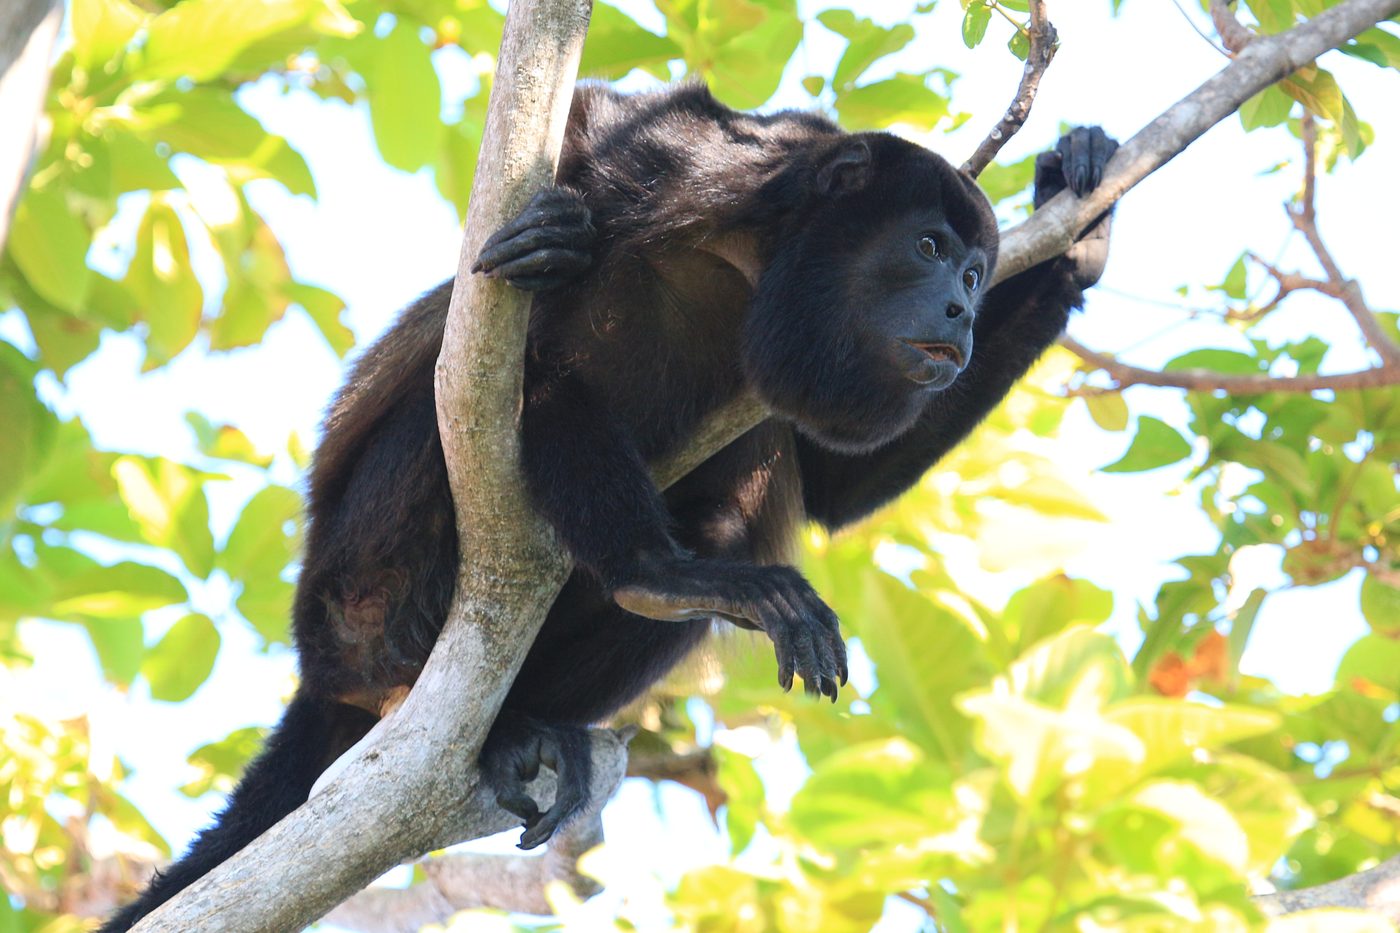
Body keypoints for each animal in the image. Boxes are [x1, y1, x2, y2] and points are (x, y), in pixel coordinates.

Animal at [100, 81, 1117, 930]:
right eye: (928, 248)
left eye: (979, 273)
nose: (961, 310)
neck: (764, 265)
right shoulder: (714, 164)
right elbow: (590, 124)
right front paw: (553, 234)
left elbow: (832, 487)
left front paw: (1083, 227)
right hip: (354, 588)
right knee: (516, 388)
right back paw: (645, 576)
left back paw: (552, 702)